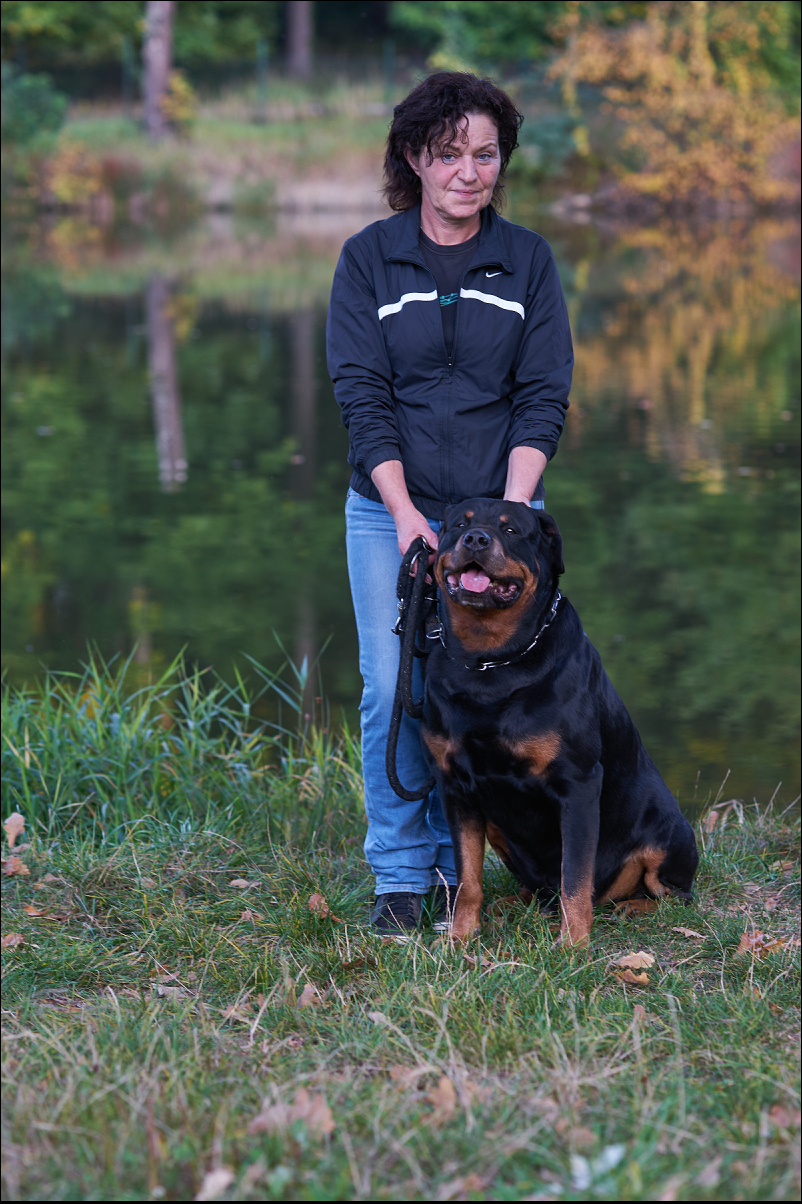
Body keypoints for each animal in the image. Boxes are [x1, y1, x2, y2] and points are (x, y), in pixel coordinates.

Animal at [421, 497, 698, 946]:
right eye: (457, 525)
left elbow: (576, 876)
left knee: (671, 895)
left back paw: (633, 907)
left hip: (668, 832)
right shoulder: (454, 786)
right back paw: (513, 903)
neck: (489, 661)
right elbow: (468, 878)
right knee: (534, 888)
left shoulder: (578, 784)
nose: (476, 538)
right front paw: (460, 937)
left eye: (511, 530)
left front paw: (573, 945)